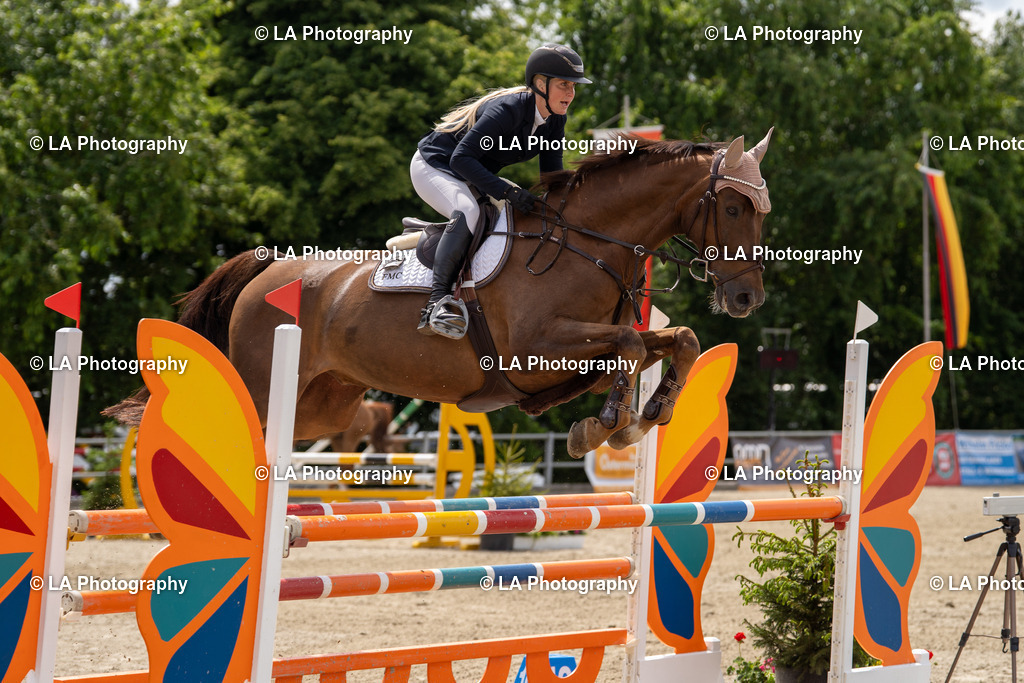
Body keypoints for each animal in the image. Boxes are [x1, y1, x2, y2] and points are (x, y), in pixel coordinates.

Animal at [106, 131, 773, 459]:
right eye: (733, 208)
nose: (747, 299)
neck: (588, 242)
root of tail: (265, 272)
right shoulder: (536, 349)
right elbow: (633, 346)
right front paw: (609, 424)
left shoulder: (578, 350)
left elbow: (676, 339)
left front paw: (644, 415)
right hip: (266, 383)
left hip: (325, 406)